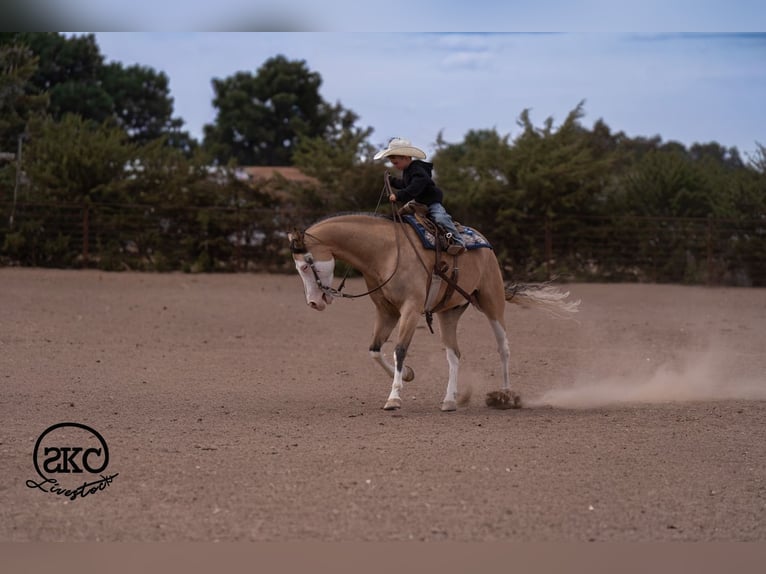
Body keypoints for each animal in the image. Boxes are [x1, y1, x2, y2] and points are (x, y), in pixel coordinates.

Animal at [288, 212, 579, 412]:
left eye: (306, 265)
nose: (314, 303)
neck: (386, 253)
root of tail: (485, 244)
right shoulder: (387, 312)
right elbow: (375, 350)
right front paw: (407, 375)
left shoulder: (411, 308)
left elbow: (400, 350)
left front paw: (394, 397)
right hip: (448, 313)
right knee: (454, 354)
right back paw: (450, 400)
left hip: (492, 302)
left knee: (503, 348)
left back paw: (506, 396)